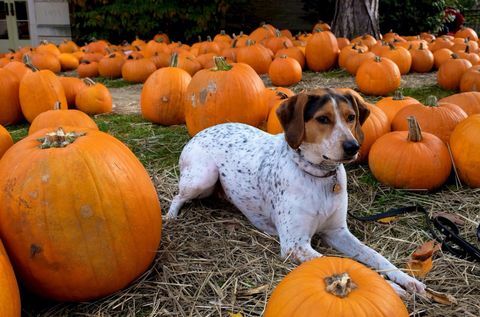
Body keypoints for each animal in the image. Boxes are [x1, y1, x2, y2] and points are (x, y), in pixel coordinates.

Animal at [167, 87, 426, 294]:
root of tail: (203, 130)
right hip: (203, 176)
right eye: (323, 119)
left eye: (351, 117)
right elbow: (347, 265)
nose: (353, 147)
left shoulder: (337, 232)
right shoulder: (295, 245)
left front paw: (406, 280)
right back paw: (170, 217)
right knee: (177, 196)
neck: (320, 177)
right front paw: (388, 287)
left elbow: (374, 256)